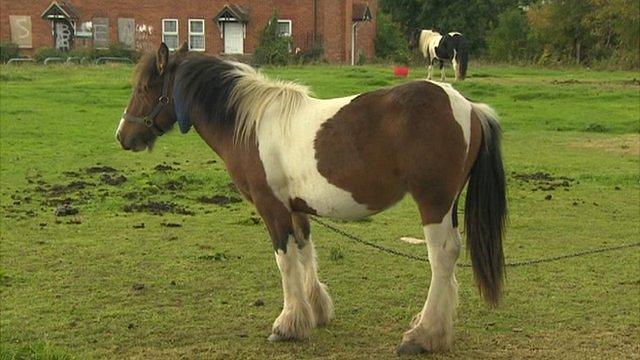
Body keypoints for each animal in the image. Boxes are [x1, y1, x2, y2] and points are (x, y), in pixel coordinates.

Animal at [114, 43, 504, 354]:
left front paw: (287, 324)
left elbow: (285, 260)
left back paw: (422, 335)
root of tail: (469, 107)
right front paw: (315, 311)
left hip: (433, 202)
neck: (250, 124)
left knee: (442, 256)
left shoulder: (272, 208)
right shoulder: (296, 208)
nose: (122, 136)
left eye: (145, 87)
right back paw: (433, 328)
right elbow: (304, 251)